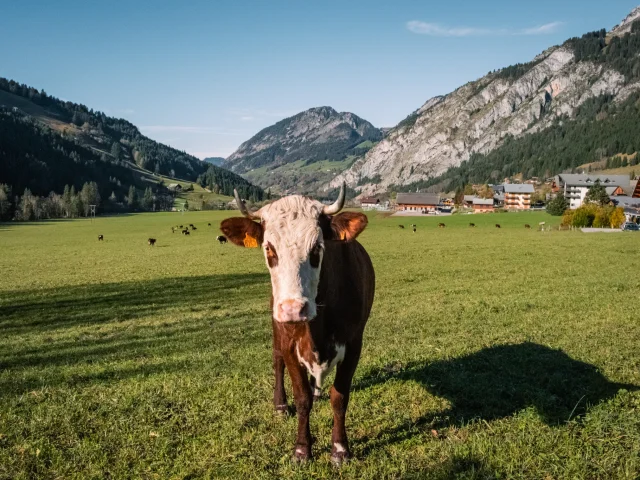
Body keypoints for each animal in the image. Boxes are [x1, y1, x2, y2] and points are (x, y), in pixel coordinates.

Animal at [222, 184, 378, 464]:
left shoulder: (354, 344)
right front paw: (302, 448)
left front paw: (340, 448)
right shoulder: (288, 343)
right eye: (268, 248)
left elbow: (339, 397)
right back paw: (281, 405)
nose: (293, 308)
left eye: (317, 248)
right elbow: (302, 397)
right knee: (277, 362)